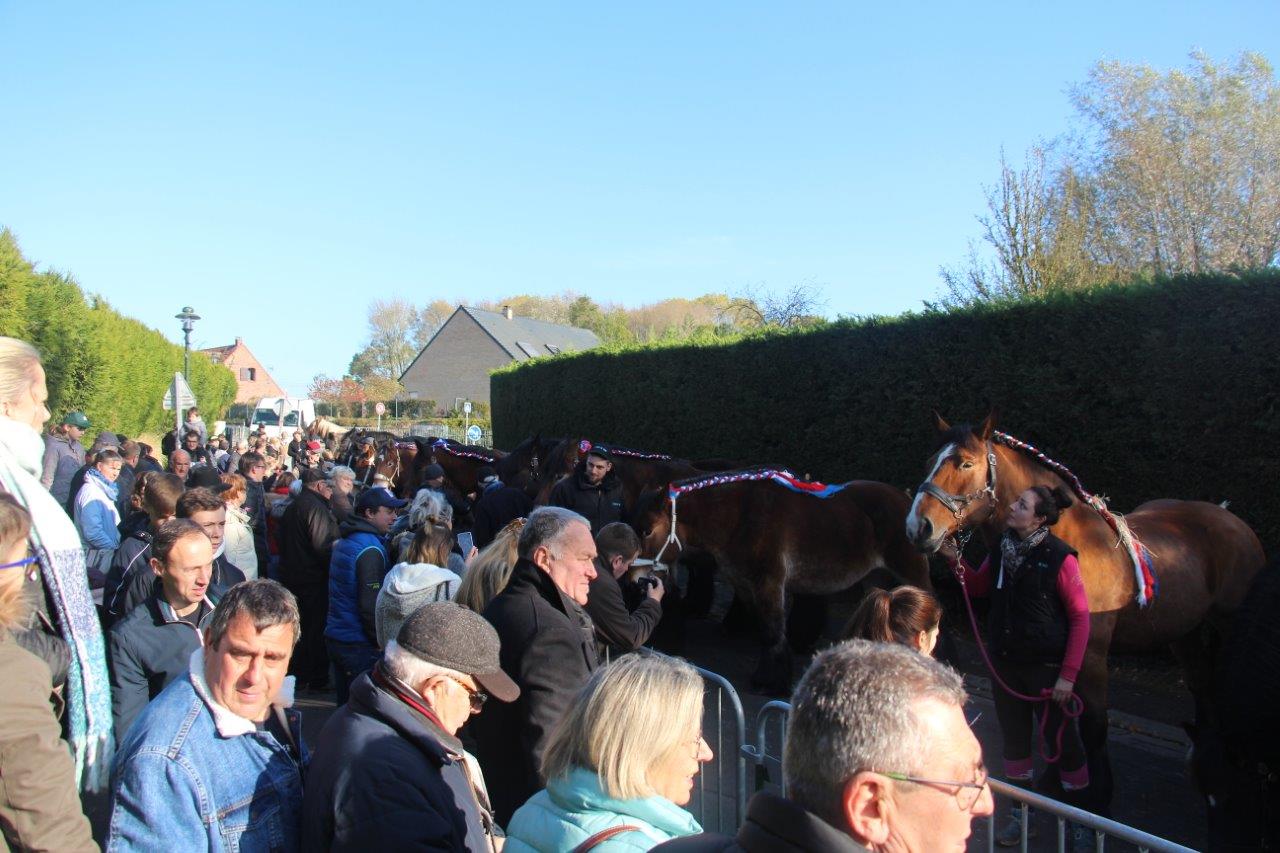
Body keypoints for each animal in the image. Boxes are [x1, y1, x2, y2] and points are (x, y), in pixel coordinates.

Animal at [632, 471, 926, 691]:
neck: (740, 517)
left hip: (911, 573)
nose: (635, 578)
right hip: (878, 577)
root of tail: (906, 500)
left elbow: (772, 629)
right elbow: (766, 629)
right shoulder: (744, 585)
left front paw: (771, 681)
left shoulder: (768, 583)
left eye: (647, 531)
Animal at [906, 412, 1264, 809]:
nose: (918, 527)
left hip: (1228, 625)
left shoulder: (1089, 656)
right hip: (1183, 632)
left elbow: (1092, 726)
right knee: (1202, 686)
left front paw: (1098, 795)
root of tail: (1231, 519)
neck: (1069, 543)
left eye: (966, 463)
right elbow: (1051, 716)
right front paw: (1054, 781)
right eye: (930, 461)